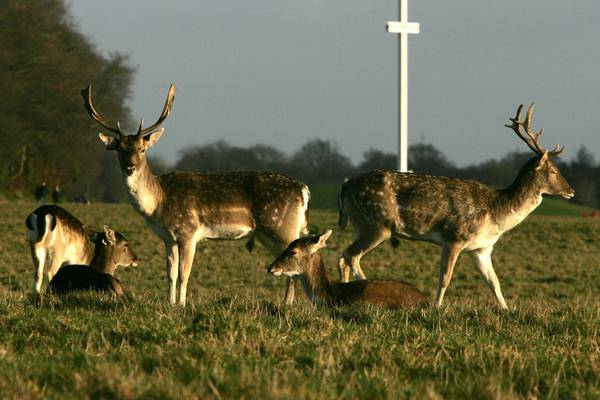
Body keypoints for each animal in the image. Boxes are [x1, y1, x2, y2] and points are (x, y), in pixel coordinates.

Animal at [81, 82, 310, 306]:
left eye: (142, 149)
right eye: (119, 149)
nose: (130, 168)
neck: (158, 205)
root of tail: (303, 190)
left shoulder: (188, 232)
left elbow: (184, 273)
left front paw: (182, 304)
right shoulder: (168, 238)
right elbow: (170, 273)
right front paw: (170, 303)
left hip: (280, 228)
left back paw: (287, 305)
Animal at [340, 104, 576, 308]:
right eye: (553, 171)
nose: (571, 191)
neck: (495, 216)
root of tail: (345, 185)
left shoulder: (481, 249)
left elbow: (494, 282)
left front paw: (507, 309)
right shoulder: (453, 237)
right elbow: (445, 278)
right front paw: (436, 308)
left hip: (360, 225)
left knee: (343, 257)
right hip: (376, 224)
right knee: (351, 255)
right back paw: (365, 286)